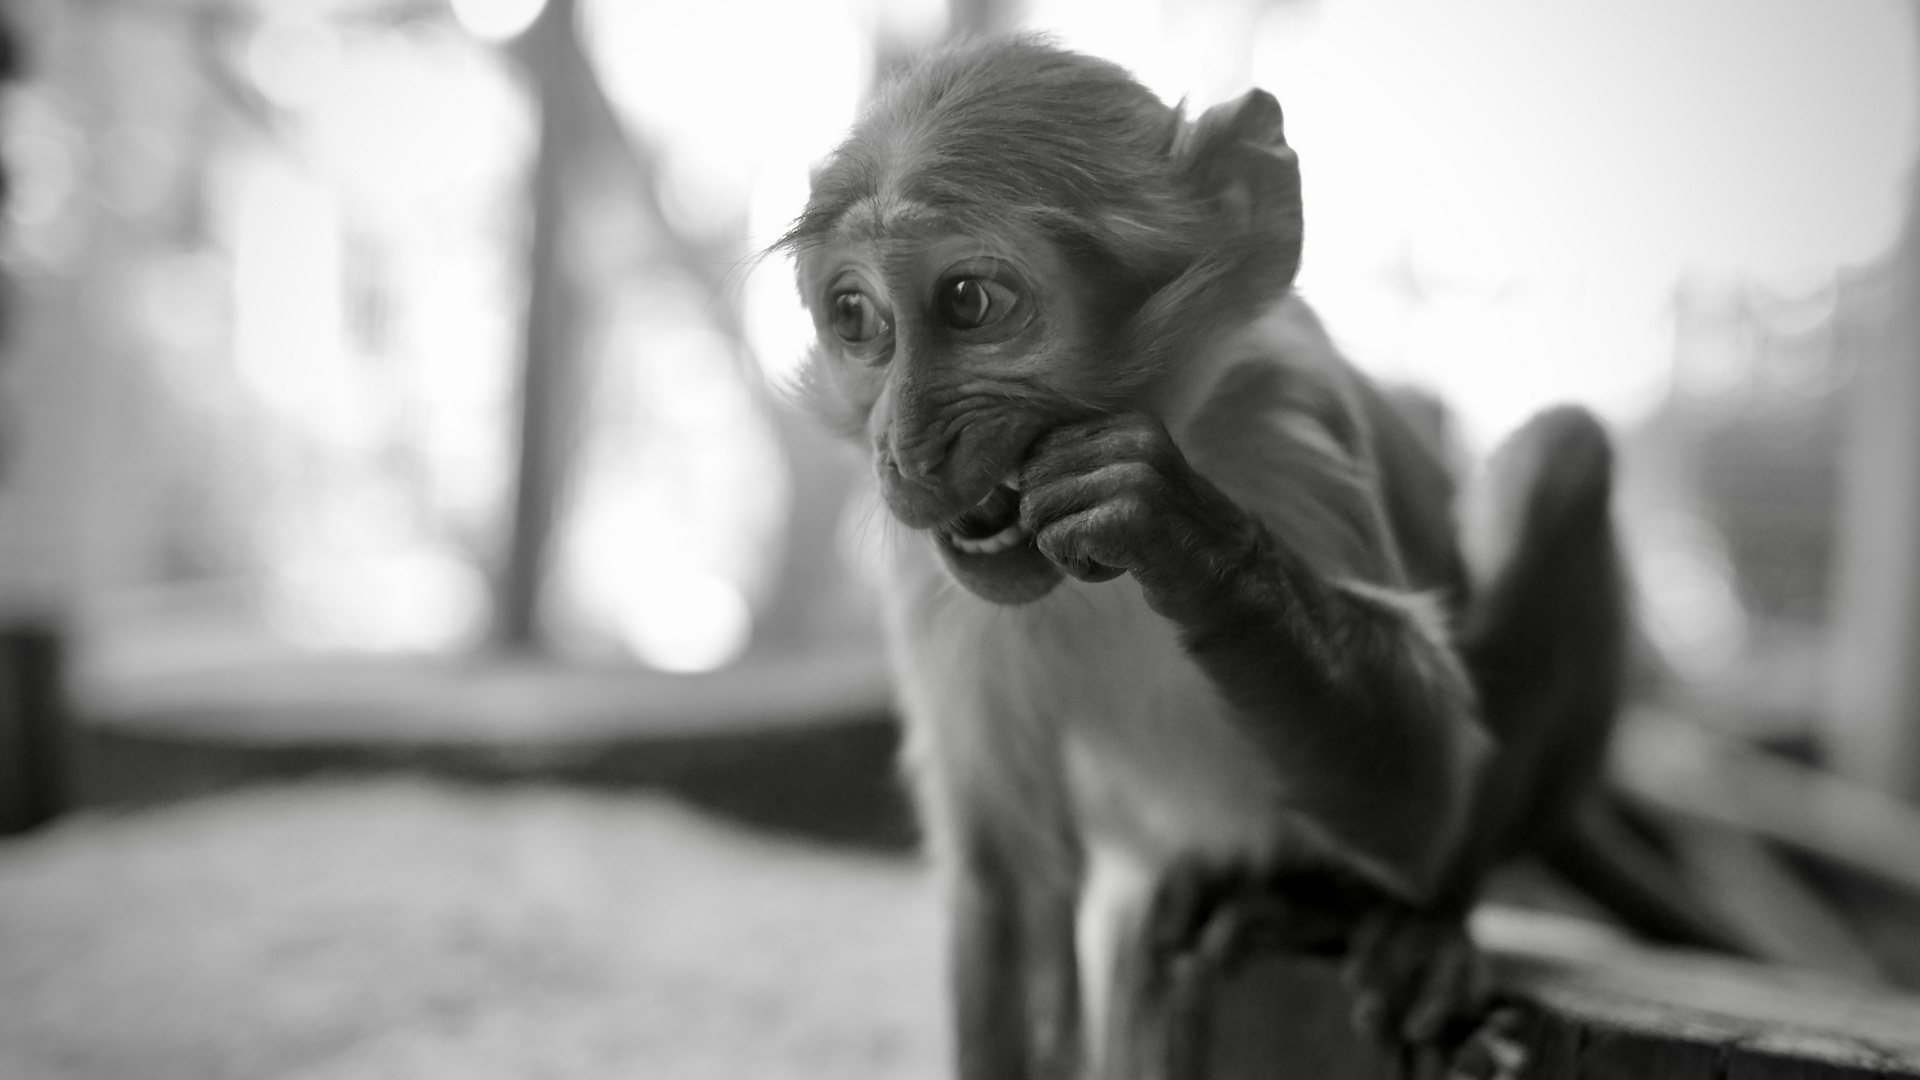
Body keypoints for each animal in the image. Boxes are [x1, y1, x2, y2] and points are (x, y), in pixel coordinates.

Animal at [779, 35, 1651, 1076]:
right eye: (856, 318)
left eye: (969, 300)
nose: (904, 449)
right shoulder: (929, 576)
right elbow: (1014, 885)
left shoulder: (1287, 427)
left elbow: (1428, 803)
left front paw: (1179, 531)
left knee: (1567, 454)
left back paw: (1381, 918)